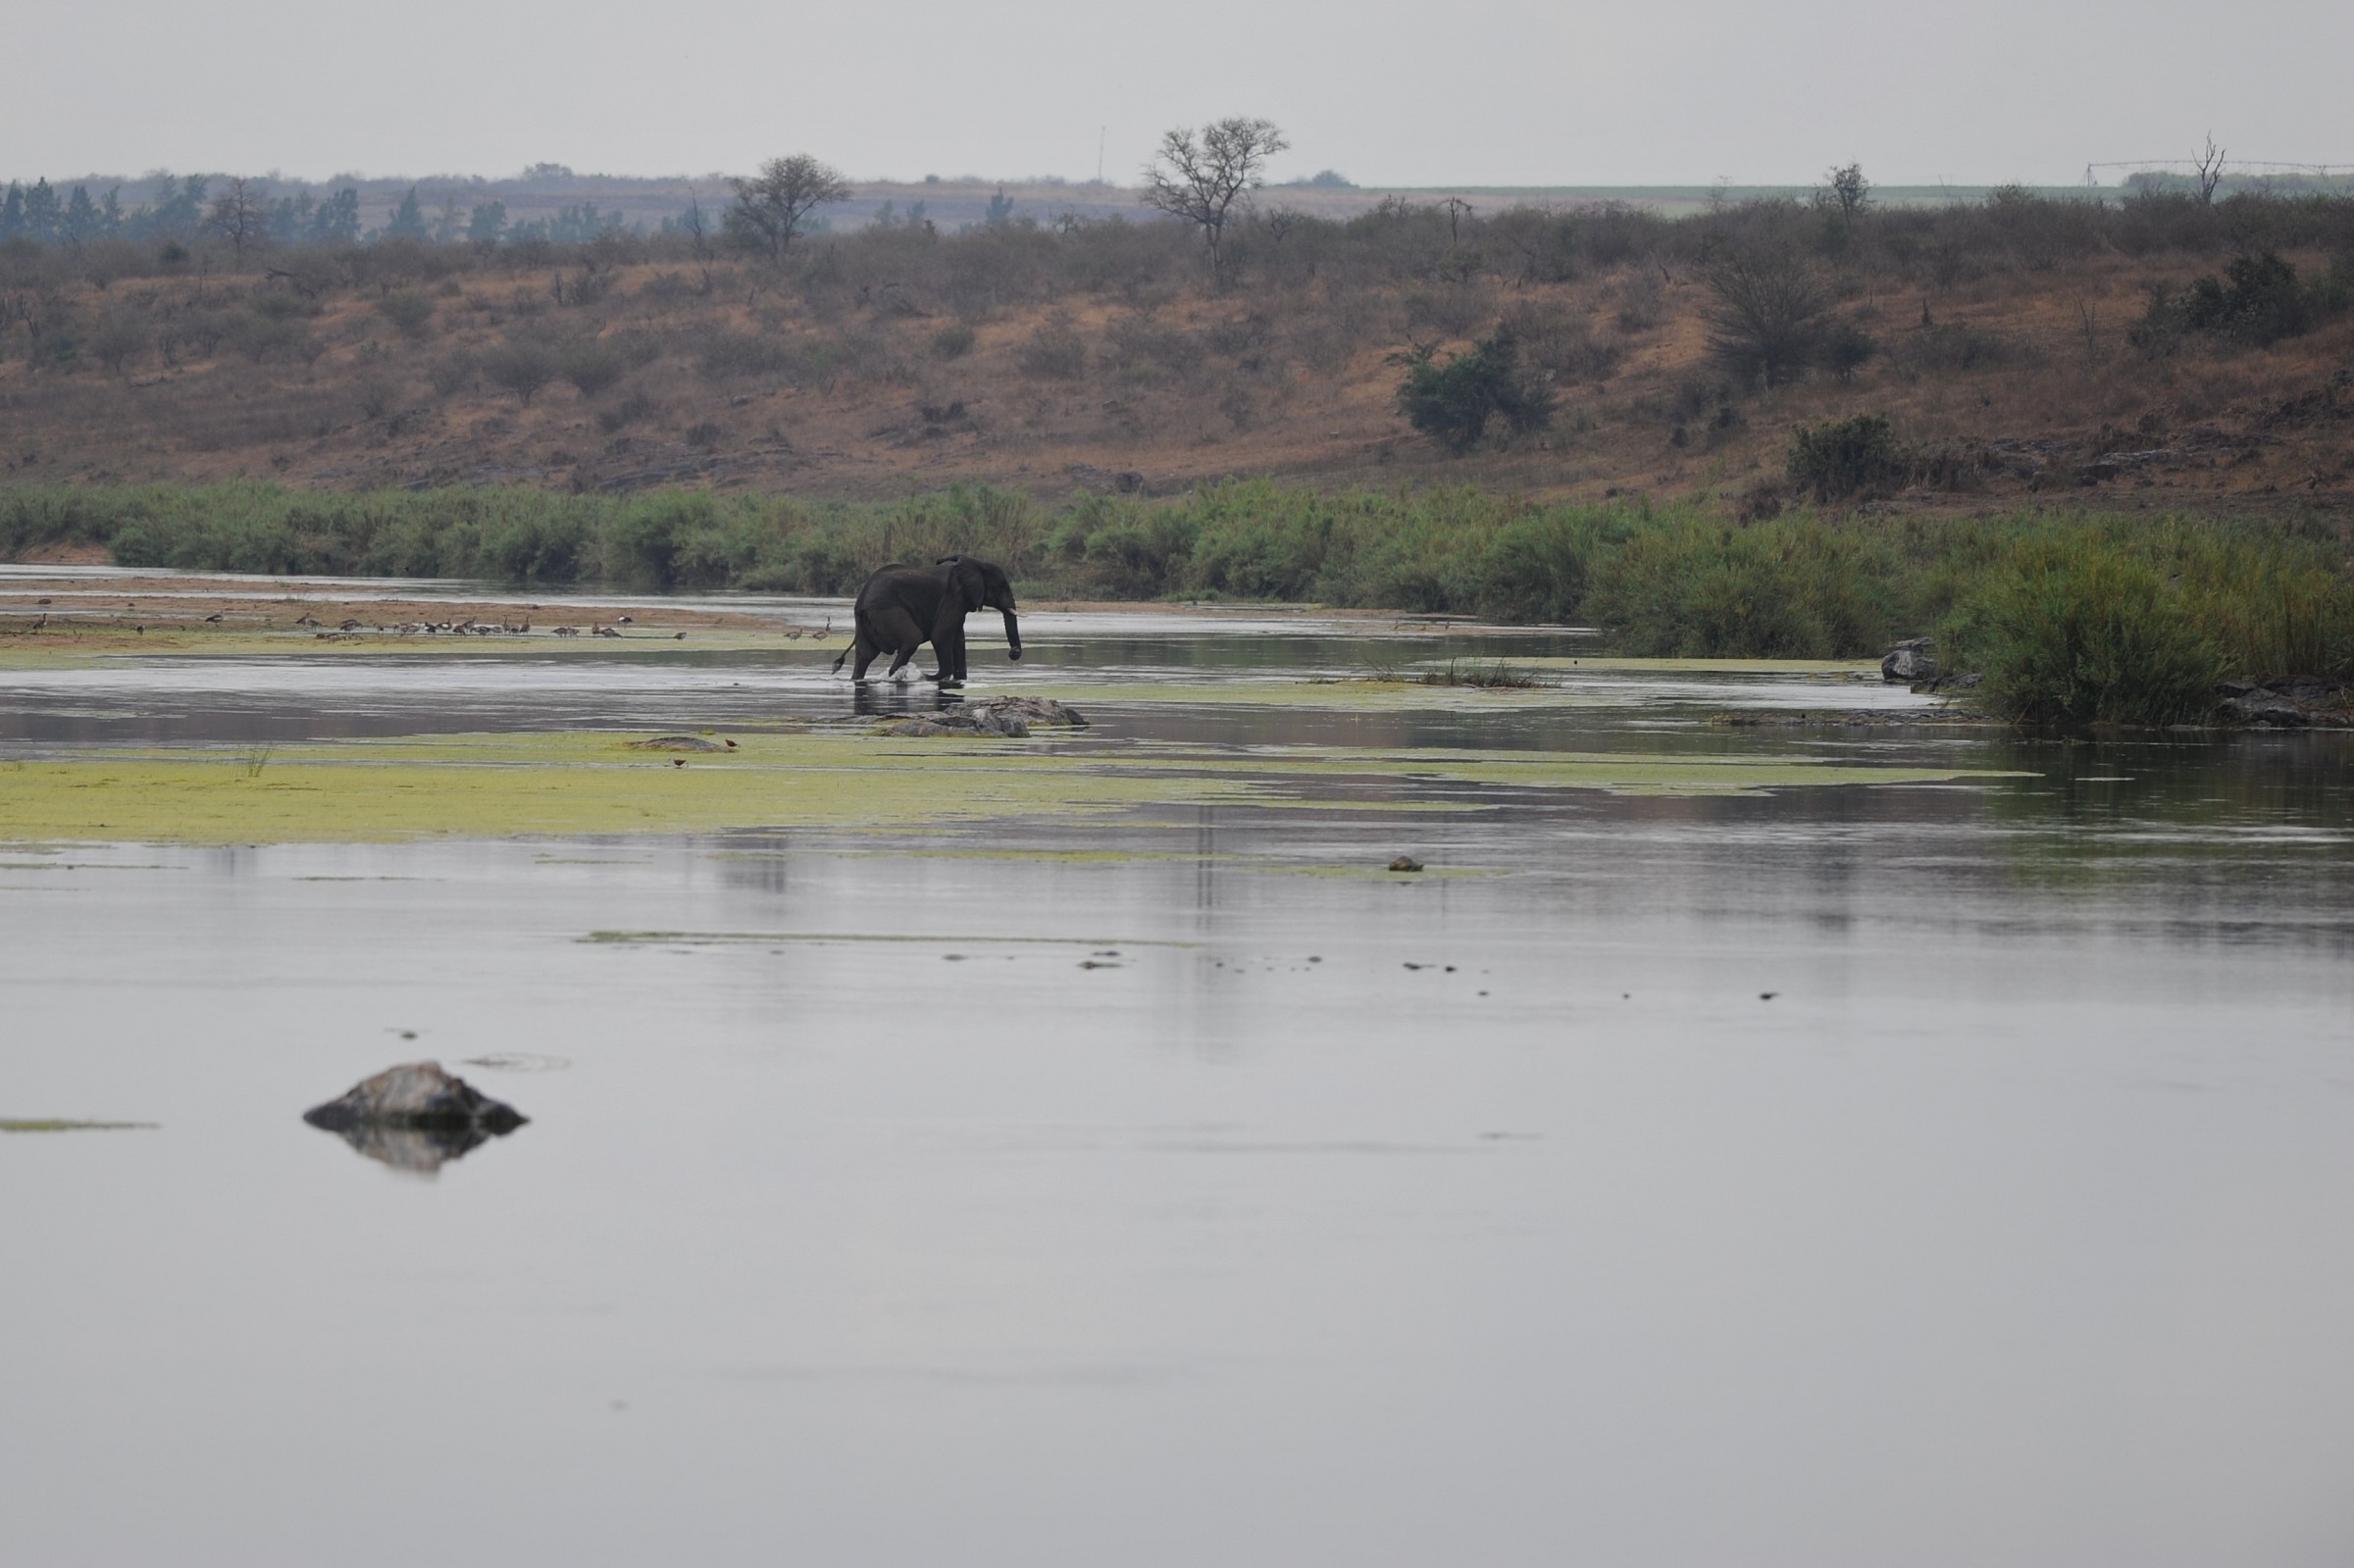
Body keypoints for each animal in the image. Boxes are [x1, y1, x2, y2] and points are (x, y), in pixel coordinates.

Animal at [831, 557, 1022, 686]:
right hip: (886, 613)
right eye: (1002, 586)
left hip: (866, 623)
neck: (975, 564)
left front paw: (959, 679)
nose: (1012, 653)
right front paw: (930, 677)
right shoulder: (954, 597)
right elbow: (940, 636)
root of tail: (861, 601)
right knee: (912, 639)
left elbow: (958, 640)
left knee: (864, 655)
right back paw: (900, 676)